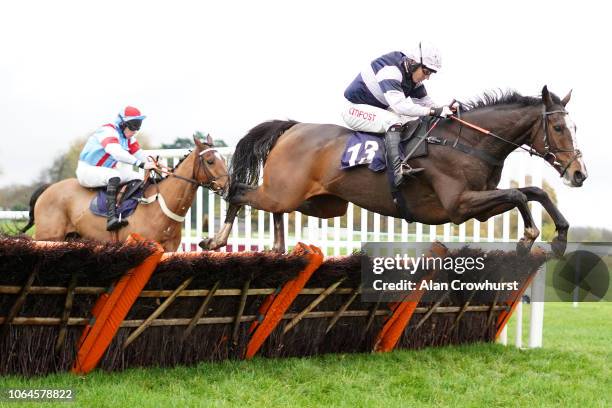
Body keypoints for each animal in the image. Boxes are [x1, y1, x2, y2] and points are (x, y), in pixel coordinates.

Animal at [21, 135, 228, 252]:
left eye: (224, 159)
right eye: (210, 161)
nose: (227, 186)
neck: (160, 206)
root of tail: (48, 188)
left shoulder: (170, 249)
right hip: (48, 237)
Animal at [202, 86, 588, 255]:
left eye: (575, 127)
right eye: (558, 128)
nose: (579, 173)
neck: (467, 142)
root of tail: (292, 127)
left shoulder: (477, 206)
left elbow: (533, 192)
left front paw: (561, 236)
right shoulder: (459, 206)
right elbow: (518, 193)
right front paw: (528, 237)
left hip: (323, 203)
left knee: (275, 208)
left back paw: (278, 247)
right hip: (287, 192)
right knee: (240, 192)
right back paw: (215, 240)